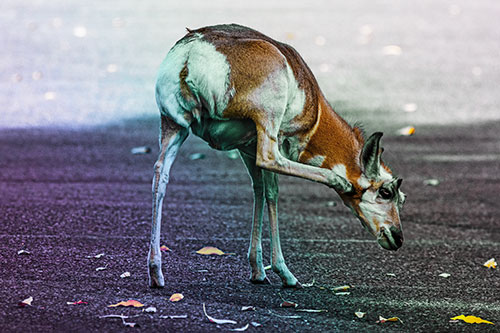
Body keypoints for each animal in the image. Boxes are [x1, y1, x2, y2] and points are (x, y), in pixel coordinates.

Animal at [147, 24, 402, 288]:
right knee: (269, 160)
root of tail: (194, 50)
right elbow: (272, 192)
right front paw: (283, 272)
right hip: (266, 122)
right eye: (387, 192)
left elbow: (258, 190)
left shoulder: (245, 148)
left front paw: (258, 270)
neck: (315, 108)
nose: (398, 237)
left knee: (160, 175)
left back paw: (156, 272)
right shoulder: (273, 139)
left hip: (174, 127)